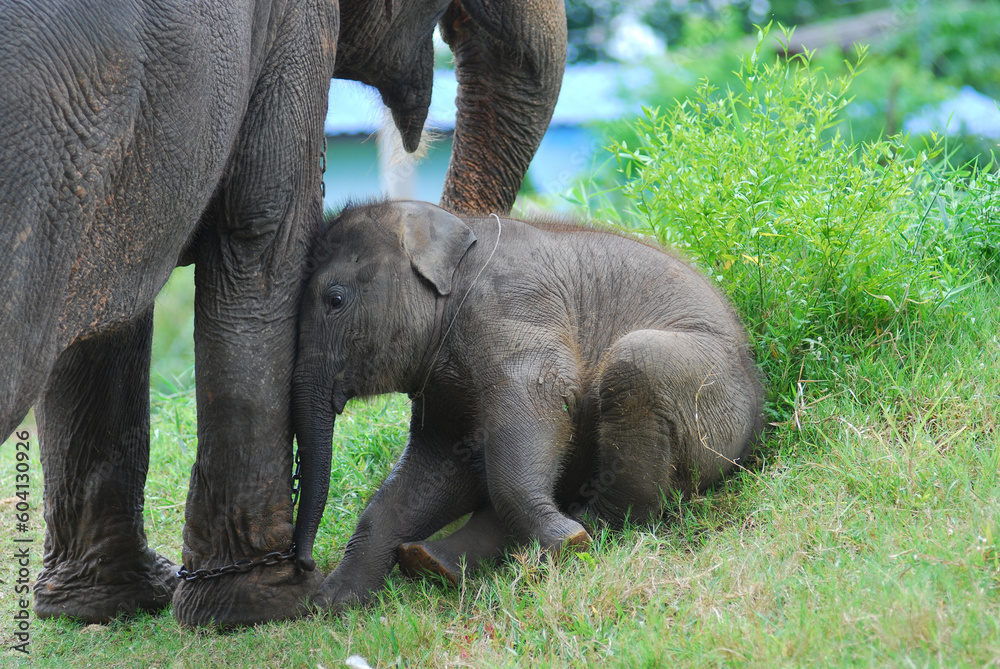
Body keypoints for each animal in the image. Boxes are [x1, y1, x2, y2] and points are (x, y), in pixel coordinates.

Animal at [292, 200, 765, 609]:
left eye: (335, 300)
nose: (304, 564)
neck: (458, 227)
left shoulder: (510, 310)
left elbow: (542, 401)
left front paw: (564, 544)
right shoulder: (441, 387)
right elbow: (439, 463)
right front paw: (333, 603)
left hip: (712, 400)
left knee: (636, 364)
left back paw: (582, 531)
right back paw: (430, 562)